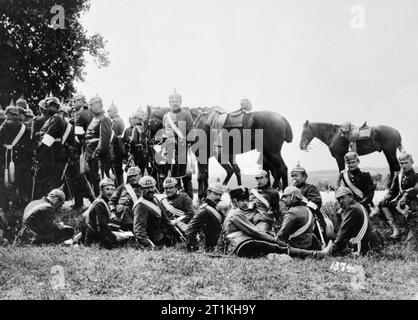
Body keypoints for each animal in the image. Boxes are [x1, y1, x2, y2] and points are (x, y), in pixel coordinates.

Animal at [144, 106, 294, 199]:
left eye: (145, 121)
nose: (146, 140)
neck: (194, 122)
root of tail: (281, 118)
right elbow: (205, 175)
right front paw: (205, 193)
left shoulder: (202, 155)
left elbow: (201, 176)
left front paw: (202, 194)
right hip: (268, 153)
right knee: (276, 171)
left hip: (272, 152)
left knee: (282, 169)